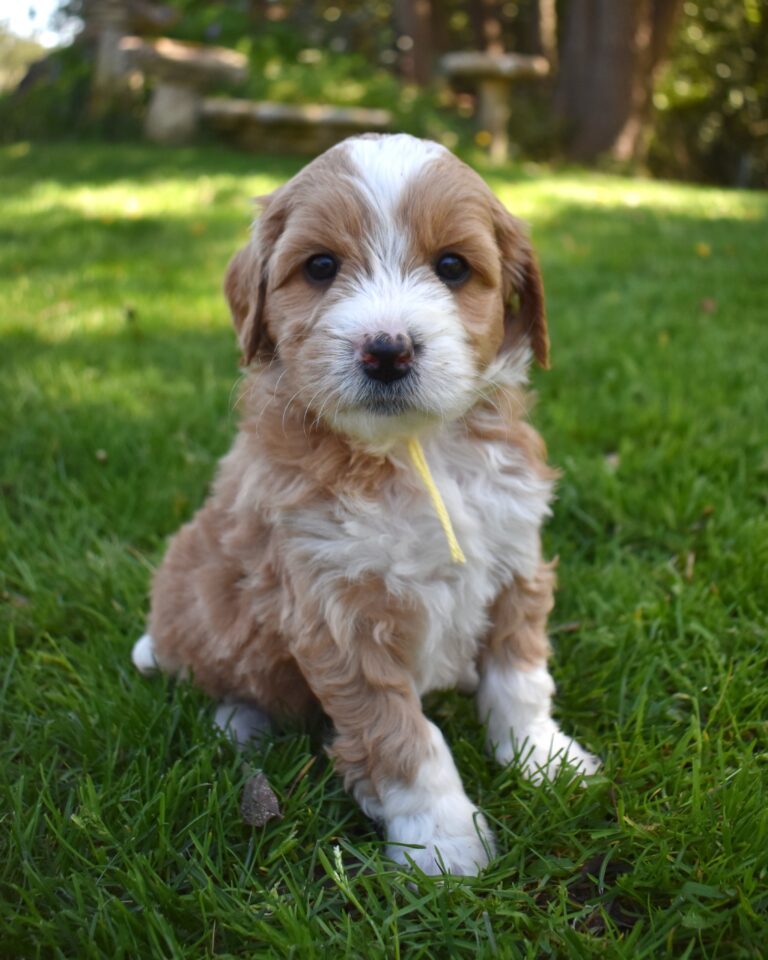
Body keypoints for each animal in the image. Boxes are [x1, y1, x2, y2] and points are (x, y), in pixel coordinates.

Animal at [134, 135, 600, 876]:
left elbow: (520, 677)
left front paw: (545, 759)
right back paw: (239, 722)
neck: (413, 448)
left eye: (452, 266)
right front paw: (442, 842)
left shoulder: (515, 557)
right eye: (321, 266)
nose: (388, 349)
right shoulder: (338, 615)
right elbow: (401, 735)